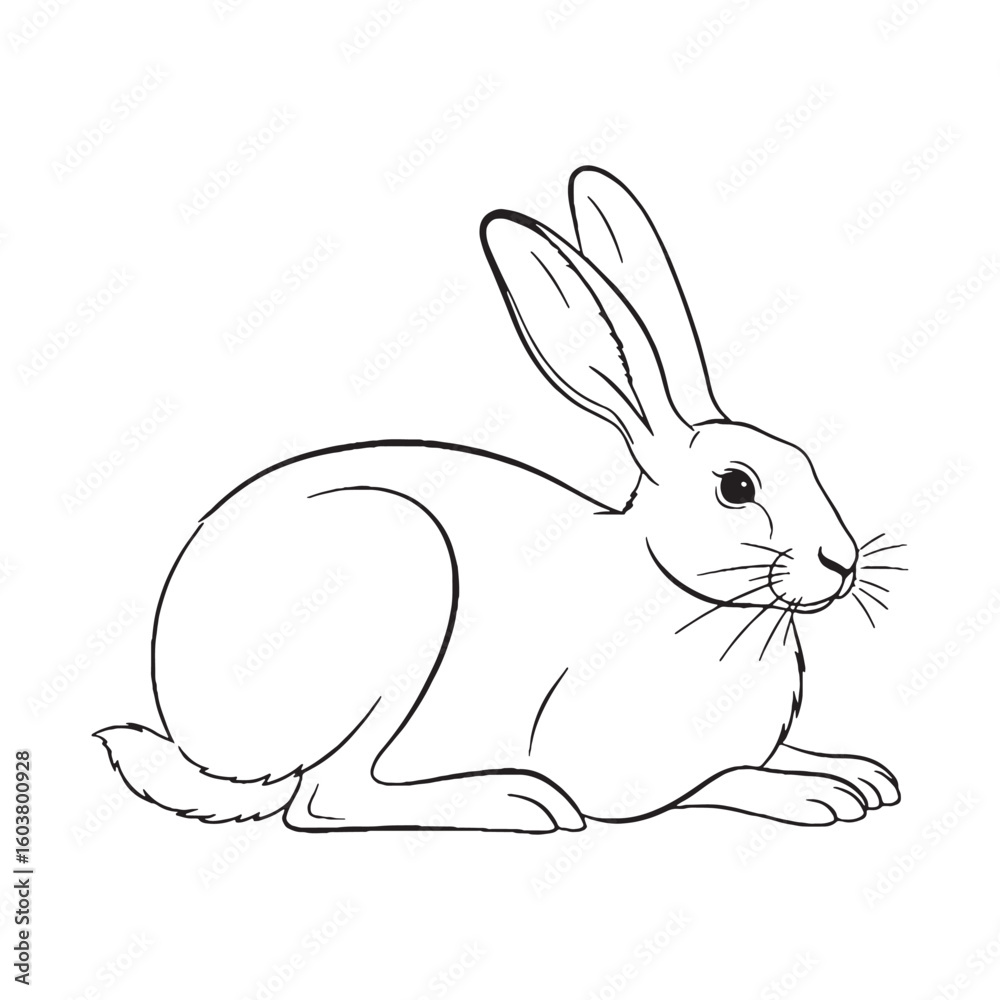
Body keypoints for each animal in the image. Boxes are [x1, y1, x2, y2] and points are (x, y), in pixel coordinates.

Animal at [95, 166, 901, 833]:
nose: (843, 563)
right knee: (325, 797)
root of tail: (199, 739)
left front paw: (860, 777)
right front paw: (814, 795)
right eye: (737, 488)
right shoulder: (621, 770)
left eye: (807, 462)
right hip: (402, 608)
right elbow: (720, 779)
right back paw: (520, 801)